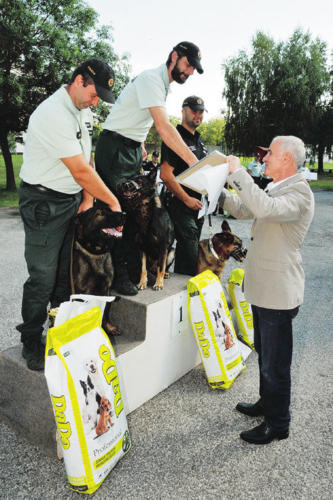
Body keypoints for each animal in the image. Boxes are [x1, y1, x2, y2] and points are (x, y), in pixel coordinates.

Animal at [70, 205, 126, 334]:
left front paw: (109, 328)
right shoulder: (81, 292)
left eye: (110, 210)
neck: (96, 252)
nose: (124, 214)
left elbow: (105, 311)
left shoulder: (106, 289)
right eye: (100, 213)